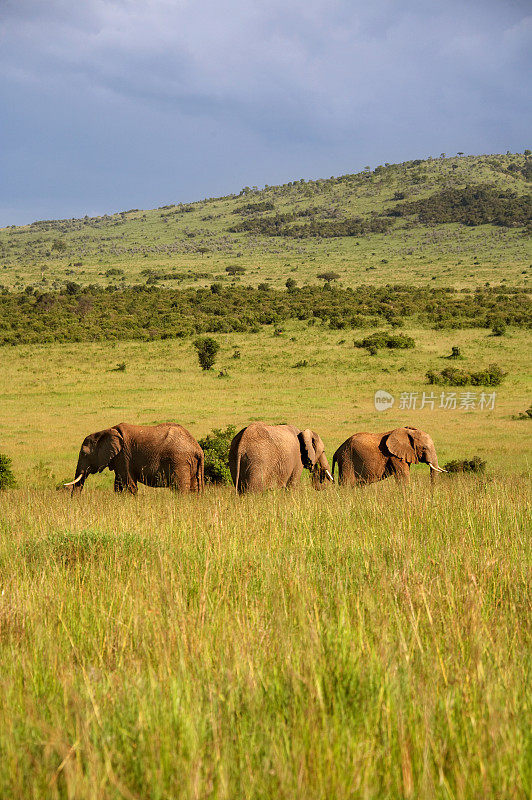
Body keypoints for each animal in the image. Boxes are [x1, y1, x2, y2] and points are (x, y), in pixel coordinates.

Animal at [62, 422, 204, 496]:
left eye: (84, 454)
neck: (105, 431)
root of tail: (198, 449)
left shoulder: (124, 455)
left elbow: (129, 484)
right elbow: (118, 485)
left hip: (179, 461)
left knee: (180, 489)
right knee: (194, 488)